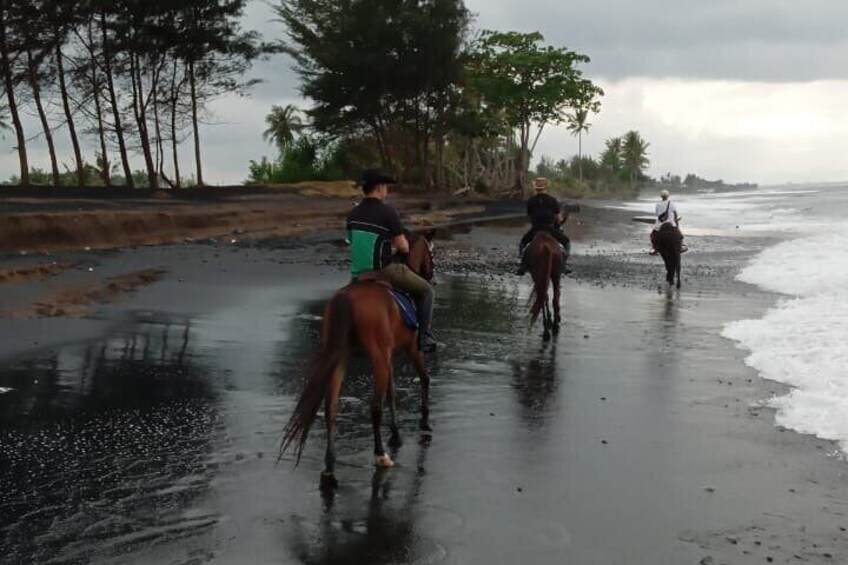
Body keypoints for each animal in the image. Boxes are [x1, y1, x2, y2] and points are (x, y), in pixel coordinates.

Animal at [280, 231, 434, 486]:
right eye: (431, 254)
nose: (430, 275)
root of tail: (346, 297)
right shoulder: (412, 349)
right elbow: (424, 378)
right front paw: (424, 420)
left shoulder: (389, 357)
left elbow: (392, 393)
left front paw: (396, 434)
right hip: (377, 358)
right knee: (374, 407)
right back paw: (380, 455)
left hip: (340, 357)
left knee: (331, 407)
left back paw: (330, 466)